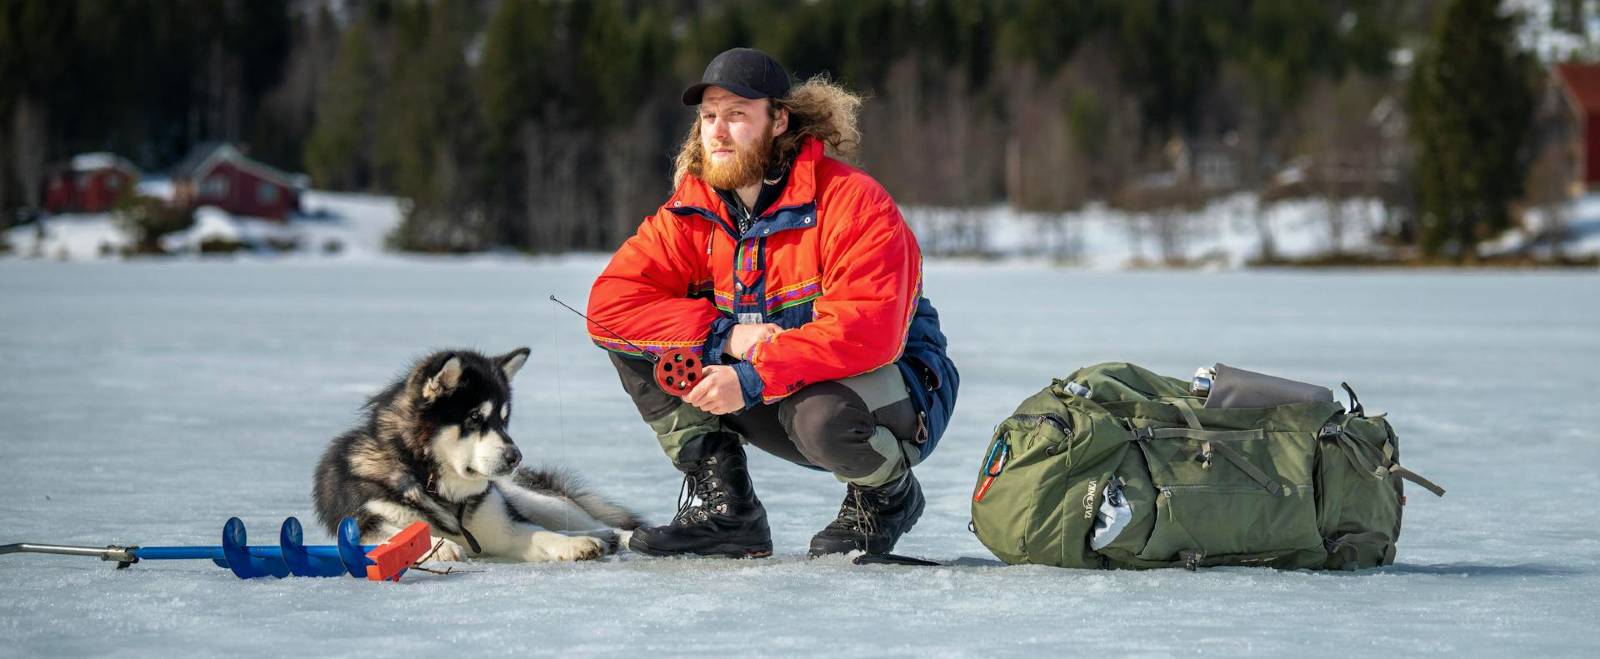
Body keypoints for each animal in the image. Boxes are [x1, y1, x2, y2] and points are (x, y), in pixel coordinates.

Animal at [312, 350, 643, 559]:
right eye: (474, 417)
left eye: (503, 420)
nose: (515, 457)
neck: (437, 487)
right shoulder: (366, 522)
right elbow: (395, 536)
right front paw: (439, 546)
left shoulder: (502, 523)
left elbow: (542, 534)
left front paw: (576, 545)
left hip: (534, 499)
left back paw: (618, 536)